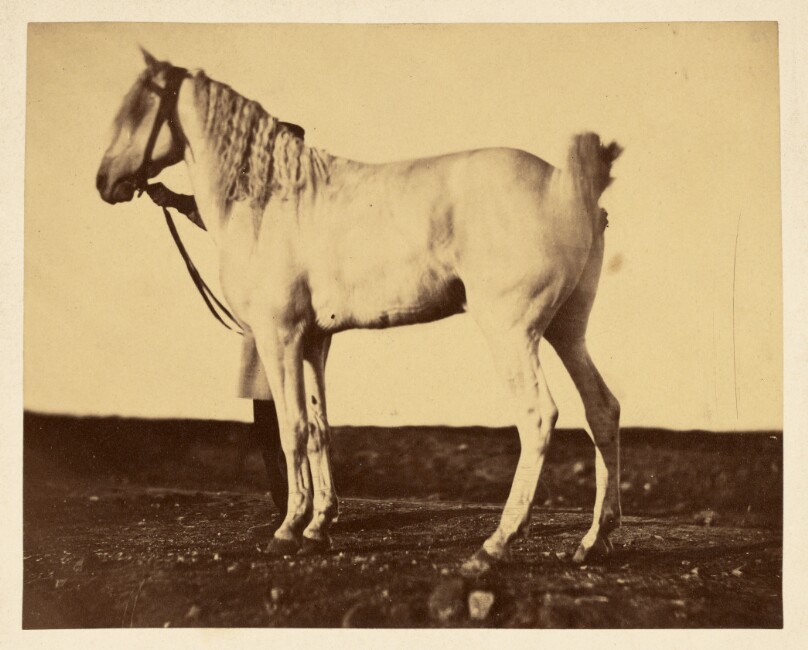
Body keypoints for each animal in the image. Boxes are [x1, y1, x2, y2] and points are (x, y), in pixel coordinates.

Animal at [96, 50, 623, 576]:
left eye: (136, 107)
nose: (104, 182)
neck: (271, 199)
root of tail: (567, 186)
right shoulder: (314, 340)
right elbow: (319, 429)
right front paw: (317, 529)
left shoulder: (279, 335)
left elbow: (292, 428)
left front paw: (288, 530)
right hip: (566, 331)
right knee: (602, 410)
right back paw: (593, 541)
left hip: (512, 333)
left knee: (537, 416)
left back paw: (494, 545)